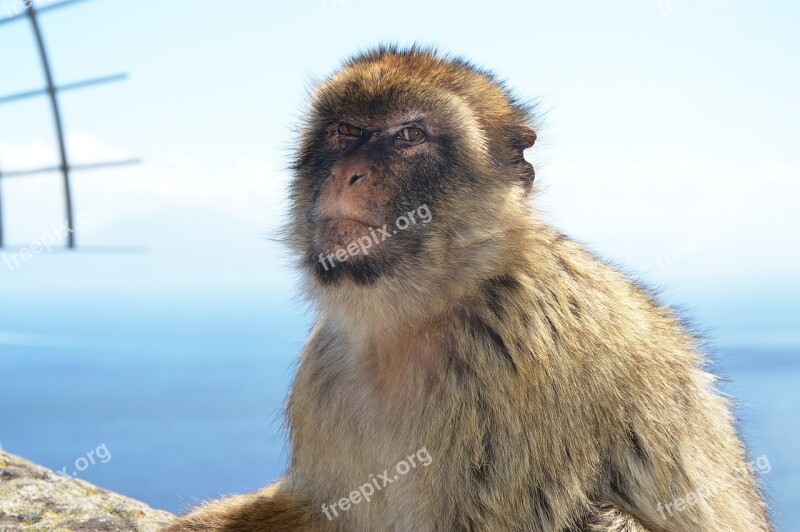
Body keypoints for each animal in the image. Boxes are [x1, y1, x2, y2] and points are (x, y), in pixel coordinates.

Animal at [166, 46, 772, 532]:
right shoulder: (326, 369)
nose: (346, 174)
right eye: (343, 131)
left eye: (410, 135)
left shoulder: (516, 366)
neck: (422, 314)